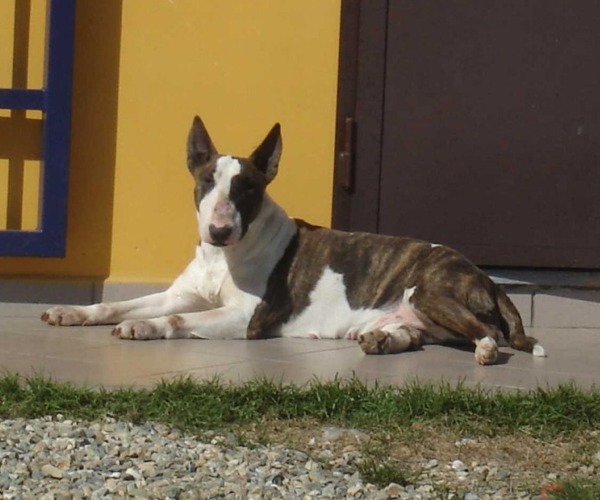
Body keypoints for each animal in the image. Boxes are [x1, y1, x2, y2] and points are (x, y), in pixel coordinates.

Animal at [42, 115, 548, 366]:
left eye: (248, 189)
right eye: (207, 181)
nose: (219, 231)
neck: (223, 258)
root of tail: (488, 278)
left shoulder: (246, 317)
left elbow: (177, 319)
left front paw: (145, 328)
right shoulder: (180, 293)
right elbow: (119, 304)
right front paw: (72, 312)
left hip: (429, 293)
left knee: (487, 334)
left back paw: (484, 350)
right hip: (413, 314)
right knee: (413, 336)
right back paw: (380, 341)